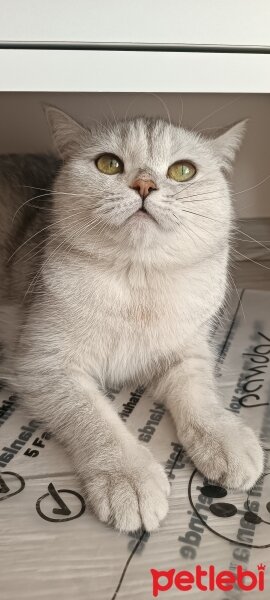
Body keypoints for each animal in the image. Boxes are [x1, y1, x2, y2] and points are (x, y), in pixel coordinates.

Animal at [0, 106, 262, 528]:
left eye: (183, 171)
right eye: (109, 164)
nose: (143, 185)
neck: (140, 283)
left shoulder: (188, 354)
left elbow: (200, 396)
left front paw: (225, 437)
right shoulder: (44, 366)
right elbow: (95, 419)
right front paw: (128, 476)